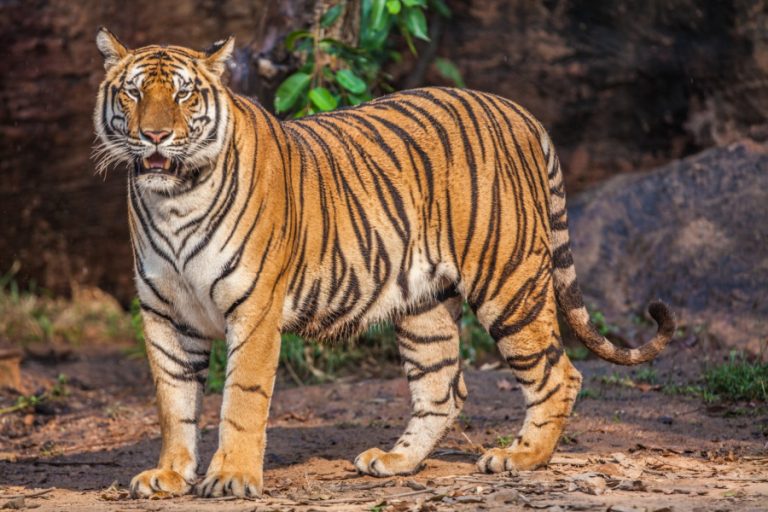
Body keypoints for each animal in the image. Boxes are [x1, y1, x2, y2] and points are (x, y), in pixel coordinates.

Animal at [93, 27, 675, 499]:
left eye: (184, 94)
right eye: (134, 91)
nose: (155, 135)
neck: (173, 200)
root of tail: (517, 110)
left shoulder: (254, 310)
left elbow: (242, 399)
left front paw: (232, 477)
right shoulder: (165, 314)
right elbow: (174, 402)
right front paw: (169, 475)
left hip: (508, 281)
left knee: (559, 373)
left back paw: (520, 456)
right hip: (424, 304)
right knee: (444, 388)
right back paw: (396, 461)